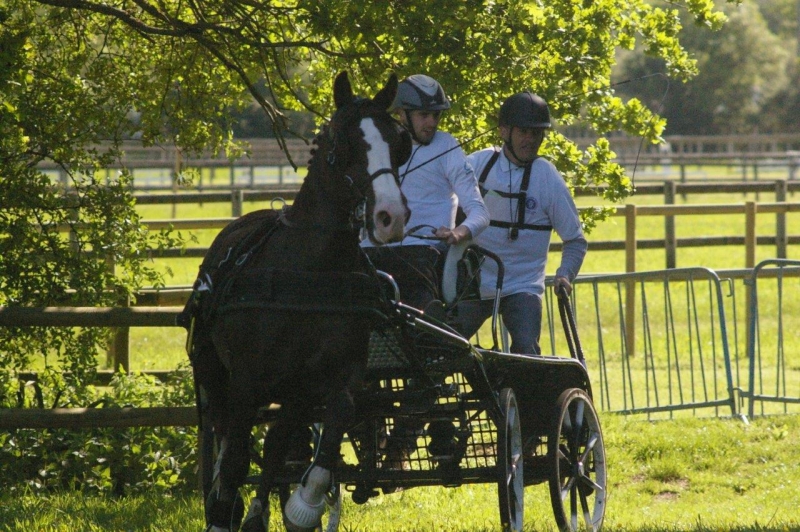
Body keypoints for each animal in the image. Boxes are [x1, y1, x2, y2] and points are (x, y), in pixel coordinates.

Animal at [183, 71, 412, 532]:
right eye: (343, 142)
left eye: (399, 141)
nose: (390, 217)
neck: (312, 273)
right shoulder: (247, 380)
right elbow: (235, 461)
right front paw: (222, 512)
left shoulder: (332, 377)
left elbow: (336, 419)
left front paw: (304, 505)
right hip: (214, 373)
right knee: (224, 440)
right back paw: (223, 505)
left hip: (292, 392)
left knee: (274, 446)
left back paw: (257, 515)